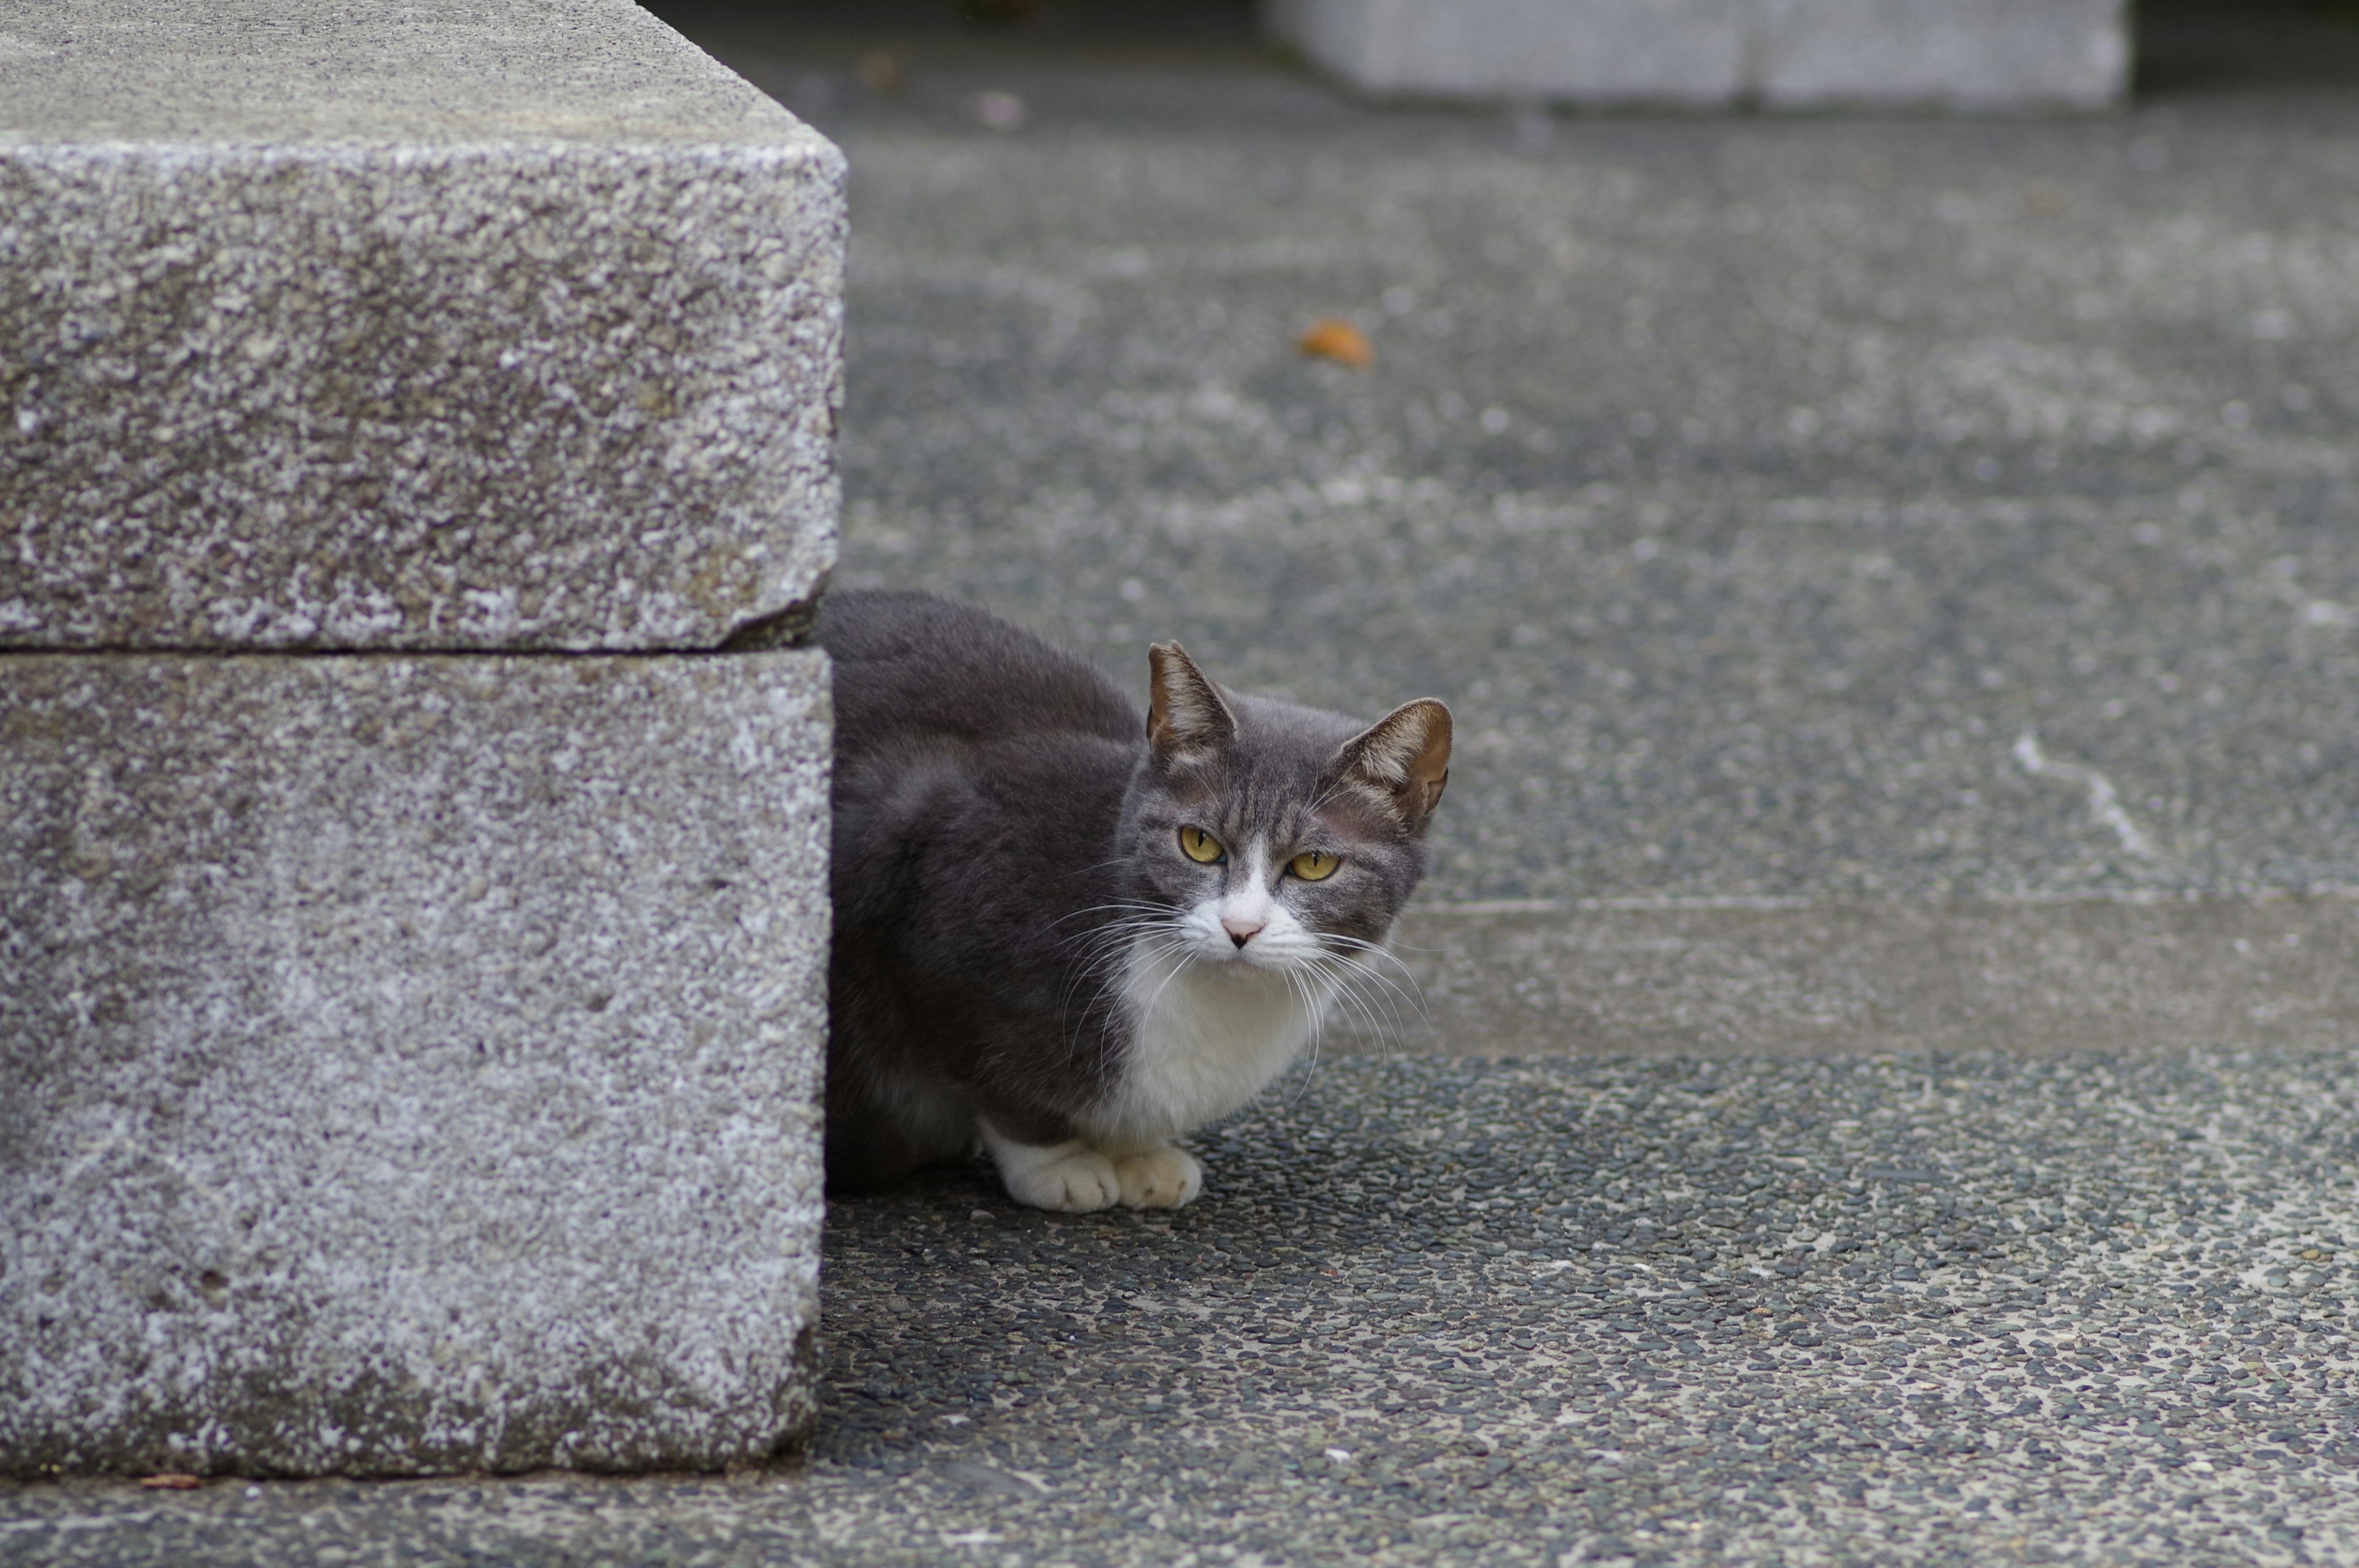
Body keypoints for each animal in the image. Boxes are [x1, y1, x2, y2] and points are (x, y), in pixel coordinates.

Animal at [816, 594, 1453, 1216]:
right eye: (1199, 843)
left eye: (1314, 863)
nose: (1240, 927)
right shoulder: (935, 922)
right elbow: (1000, 1081)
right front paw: (1057, 1162)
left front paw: (1138, 1154)